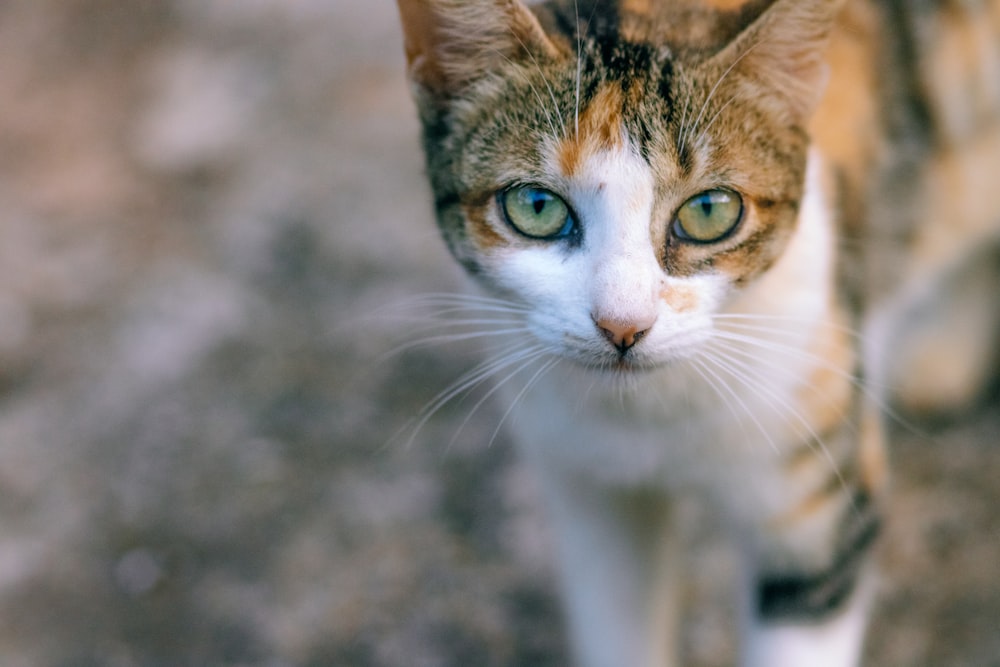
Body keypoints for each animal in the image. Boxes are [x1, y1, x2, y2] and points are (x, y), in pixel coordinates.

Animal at [394, 1, 1000, 667]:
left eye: (709, 211)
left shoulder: (817, 493)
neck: (650, 417)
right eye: (536, 207)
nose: (623, 325)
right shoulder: (590, 486)